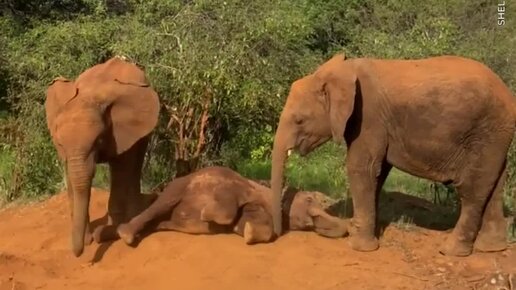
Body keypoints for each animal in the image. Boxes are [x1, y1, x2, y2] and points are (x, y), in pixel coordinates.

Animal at [45, 56, 160, 256]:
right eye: (60, 144)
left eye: (98, 140)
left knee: (134, 161)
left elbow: (122, 167)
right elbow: (71, 178)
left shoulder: (121, 129)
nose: (79, 253)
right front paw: (88, 239)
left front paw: (109, 234)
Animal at [117, 165, 350, 245]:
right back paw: (125, 234)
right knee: (162, 203)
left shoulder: (257, 206)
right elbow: (227, 199)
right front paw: (206, 214)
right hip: (178, 186)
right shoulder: (233, 184)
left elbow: (253, 223)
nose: (347, 228)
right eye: (309, 199)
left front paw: (246, 232)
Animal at [270, 52, 516, 256]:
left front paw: (359, 246)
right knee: (494, 183)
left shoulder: (368, 117)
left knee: (472, 188)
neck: (341, 72)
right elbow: (377, 173)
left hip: (485, 133)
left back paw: (451, 250)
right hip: (495, 137)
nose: (278, 233)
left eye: (299, 120)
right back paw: (491, 248)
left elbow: (362, 168)